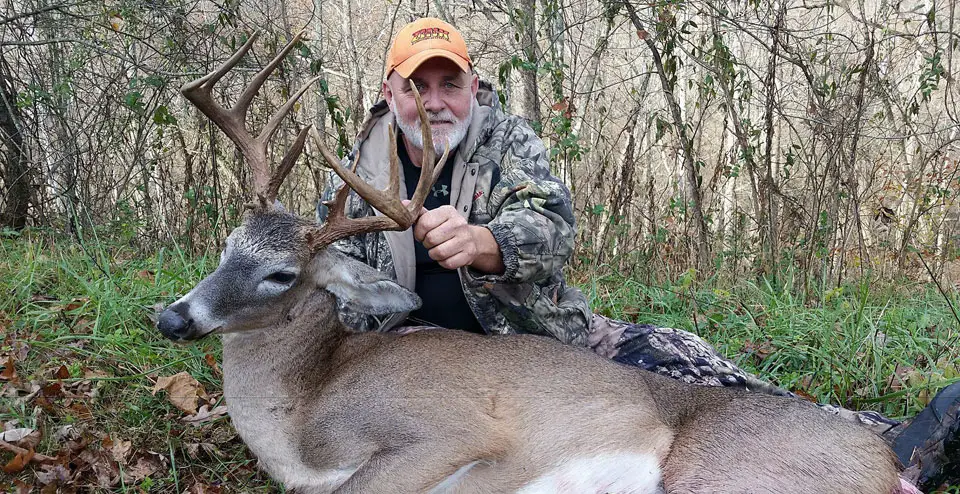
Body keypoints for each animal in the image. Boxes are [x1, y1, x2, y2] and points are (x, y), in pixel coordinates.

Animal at [157, 31, 901, 494]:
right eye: (227, 244)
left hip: (728, 473)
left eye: (281, 275)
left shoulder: (448, 433)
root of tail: (885, 465)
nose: (172, 318)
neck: (302, 417)